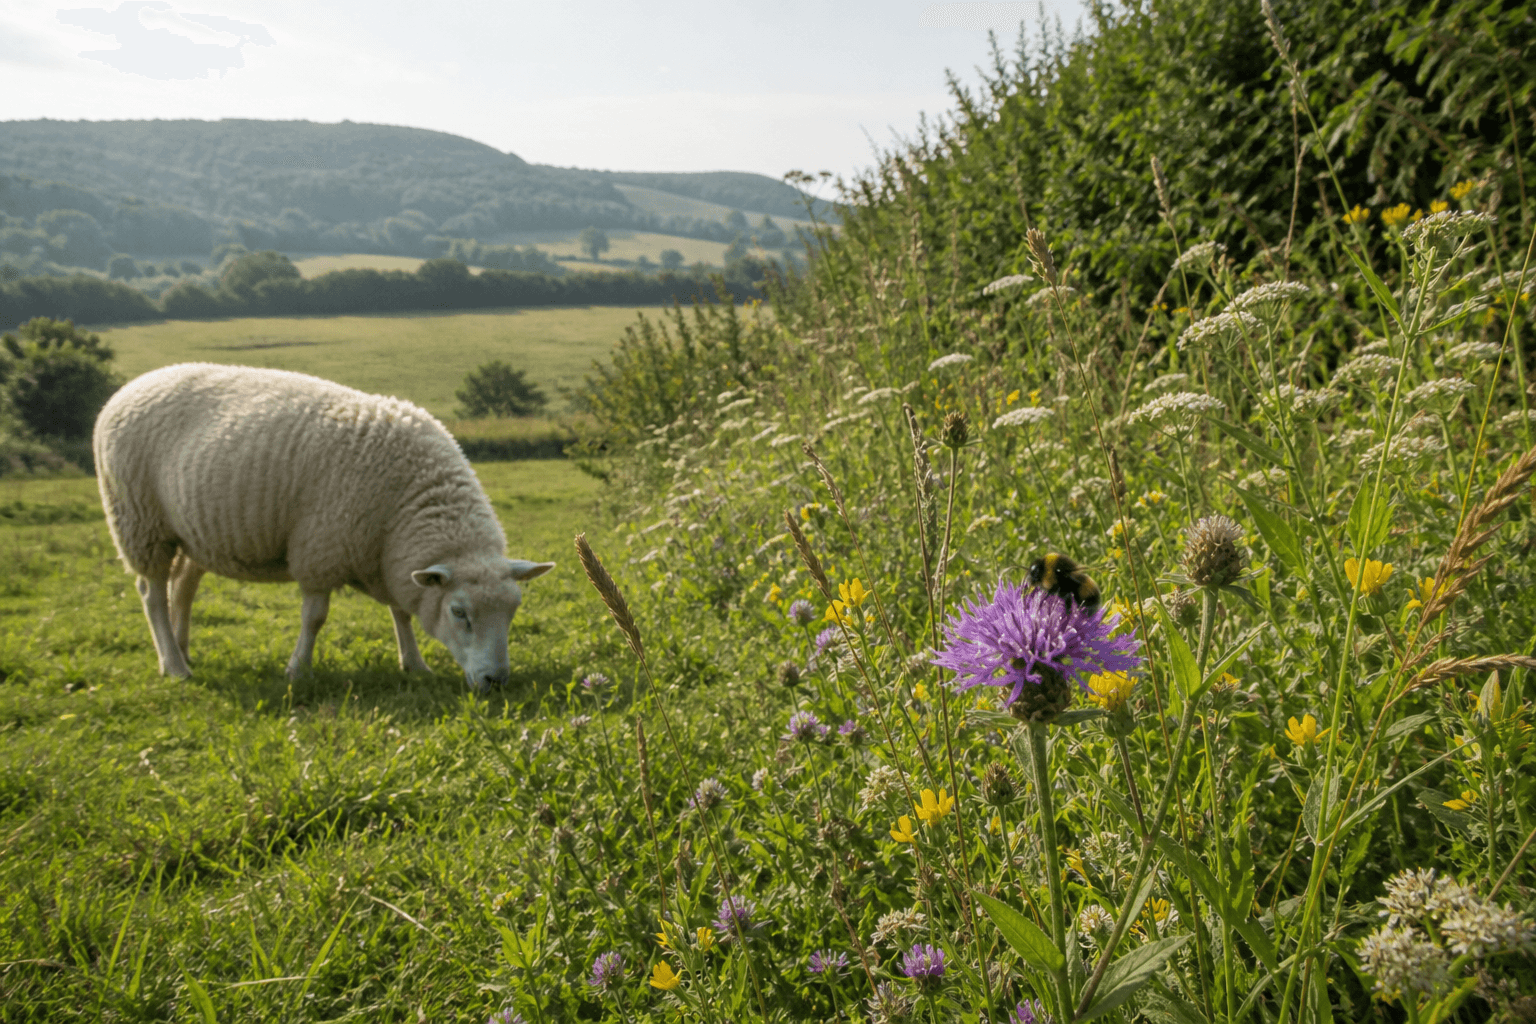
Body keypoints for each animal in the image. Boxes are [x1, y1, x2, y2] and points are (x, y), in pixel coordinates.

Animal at [92, 363, 554, 689]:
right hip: (139, 522)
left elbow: (401, 612)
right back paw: (173, 665)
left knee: (182, 587)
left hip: (193, 533)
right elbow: (315, 618)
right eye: (460, 613)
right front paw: (298, 670)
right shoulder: (320, 552)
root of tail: (128, 388)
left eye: (513, 610)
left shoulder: (386, 557)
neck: (407, 507)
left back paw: (183, 649)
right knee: (151, 593)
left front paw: (414, 664)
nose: (496, 681)